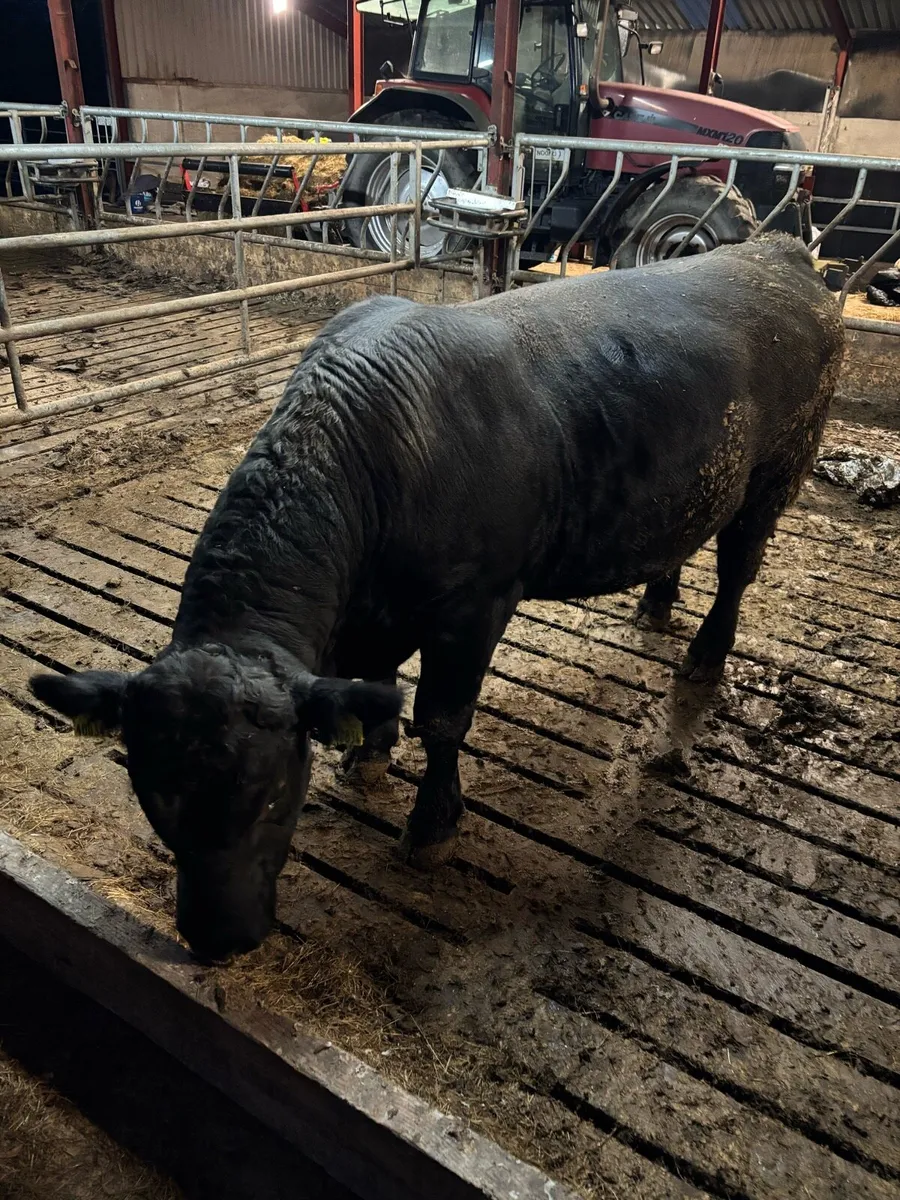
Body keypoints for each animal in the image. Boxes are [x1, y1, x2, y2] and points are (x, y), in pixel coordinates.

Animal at [30, 234, 844, 963]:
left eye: (274, 796)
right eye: (153, 794)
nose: (217, 940)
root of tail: (777, 250)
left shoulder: (474, 606)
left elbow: (443, 720)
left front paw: (430, 826)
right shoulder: (369, 619)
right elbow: (374, 685)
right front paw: (368, 755)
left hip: (782, 467)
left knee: (738, 568)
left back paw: (704, 657)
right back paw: (655, 602)